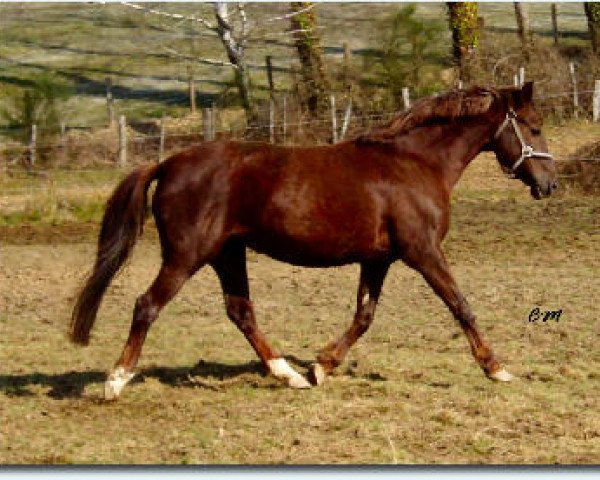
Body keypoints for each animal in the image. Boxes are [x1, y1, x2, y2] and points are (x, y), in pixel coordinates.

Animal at [71, 82, 556, 398]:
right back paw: (115, 381)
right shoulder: (423, 252)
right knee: (147, 305)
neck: (414, 163)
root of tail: (167, 163)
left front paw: (322, 366)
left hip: (227, 254)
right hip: (187, 255)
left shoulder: (378, 260)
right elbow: (461, 305)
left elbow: (364, 316)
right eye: (533, 126)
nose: (549, 185)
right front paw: (497, 369)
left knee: (240, 312)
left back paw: (289, 375)